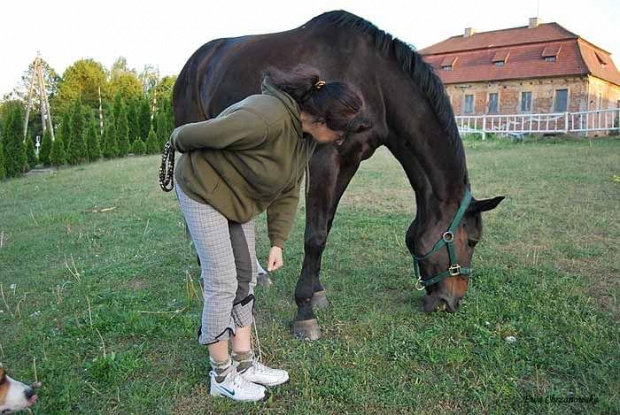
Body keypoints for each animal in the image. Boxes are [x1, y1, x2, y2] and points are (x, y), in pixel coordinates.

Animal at [171, 9, 504, 342]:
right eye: (472, 241)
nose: (452, 301)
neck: (372, 80)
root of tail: (194, 62)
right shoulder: (324, 159)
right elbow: (315, 236)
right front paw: (304, 312)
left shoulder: (350, 161)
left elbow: (326, 226)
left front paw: (317, 292)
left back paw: (259, 275)